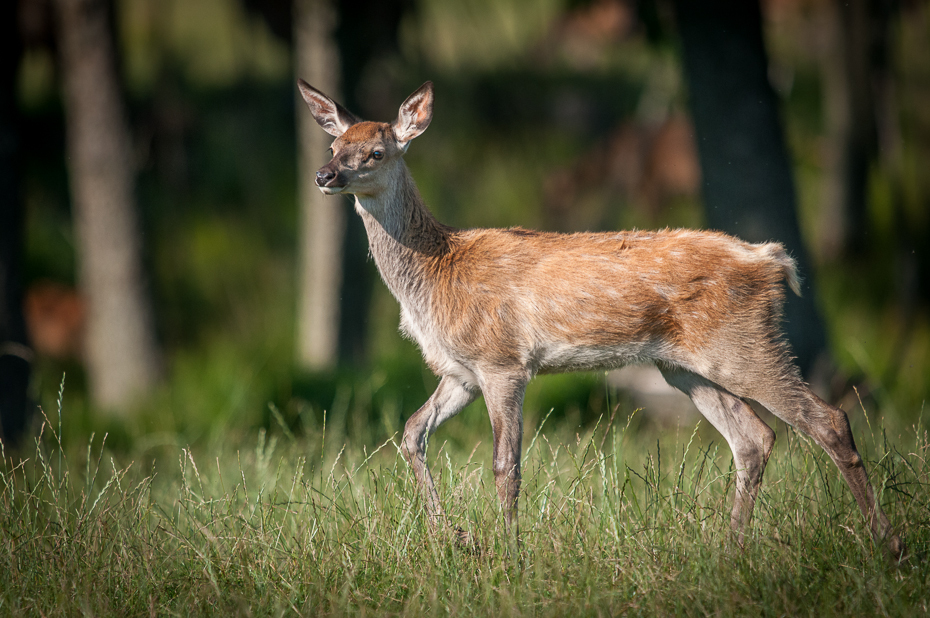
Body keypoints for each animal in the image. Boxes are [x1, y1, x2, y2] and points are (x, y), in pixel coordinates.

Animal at [296, 78, 900, 560]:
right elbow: (411, 433)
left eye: (376, 151)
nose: (324, 174)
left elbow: (505, 464)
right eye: (334, 143)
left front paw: (508, 553)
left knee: (828, 419)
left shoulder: (503, 361)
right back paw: (730, 549)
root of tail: (774, 261)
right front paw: (455, 536)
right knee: (754, 438)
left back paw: (887, 544)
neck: (436, 273)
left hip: (744, 344)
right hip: (686, 367)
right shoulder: (460, 372)